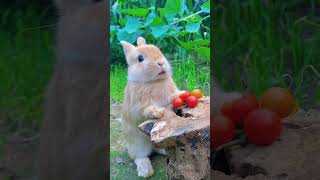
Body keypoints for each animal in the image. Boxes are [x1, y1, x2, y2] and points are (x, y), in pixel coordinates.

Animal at [120, 37, 182, 178]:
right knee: (139, 157)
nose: (161, 63)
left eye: (158, 50)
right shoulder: (138, 107)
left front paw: (183, 94)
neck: (154, 82)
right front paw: (156, 112)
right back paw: (145, 171)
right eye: (140, 58)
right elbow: (145, 111)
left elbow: (174, 97)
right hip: (138, 144)